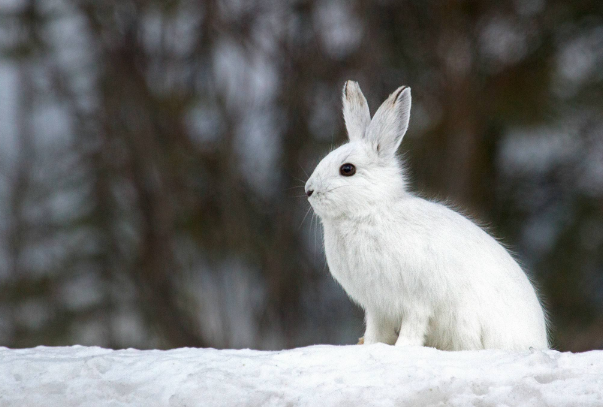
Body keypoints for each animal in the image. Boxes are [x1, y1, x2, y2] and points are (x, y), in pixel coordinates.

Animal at [304, 80, 548, 350]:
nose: (308, 191)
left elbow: (413, 326)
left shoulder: (416, 302)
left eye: (347, 169)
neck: (369, 212)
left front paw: (403, 348)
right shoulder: (378, 307)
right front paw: (370, 346)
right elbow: (376, 332)